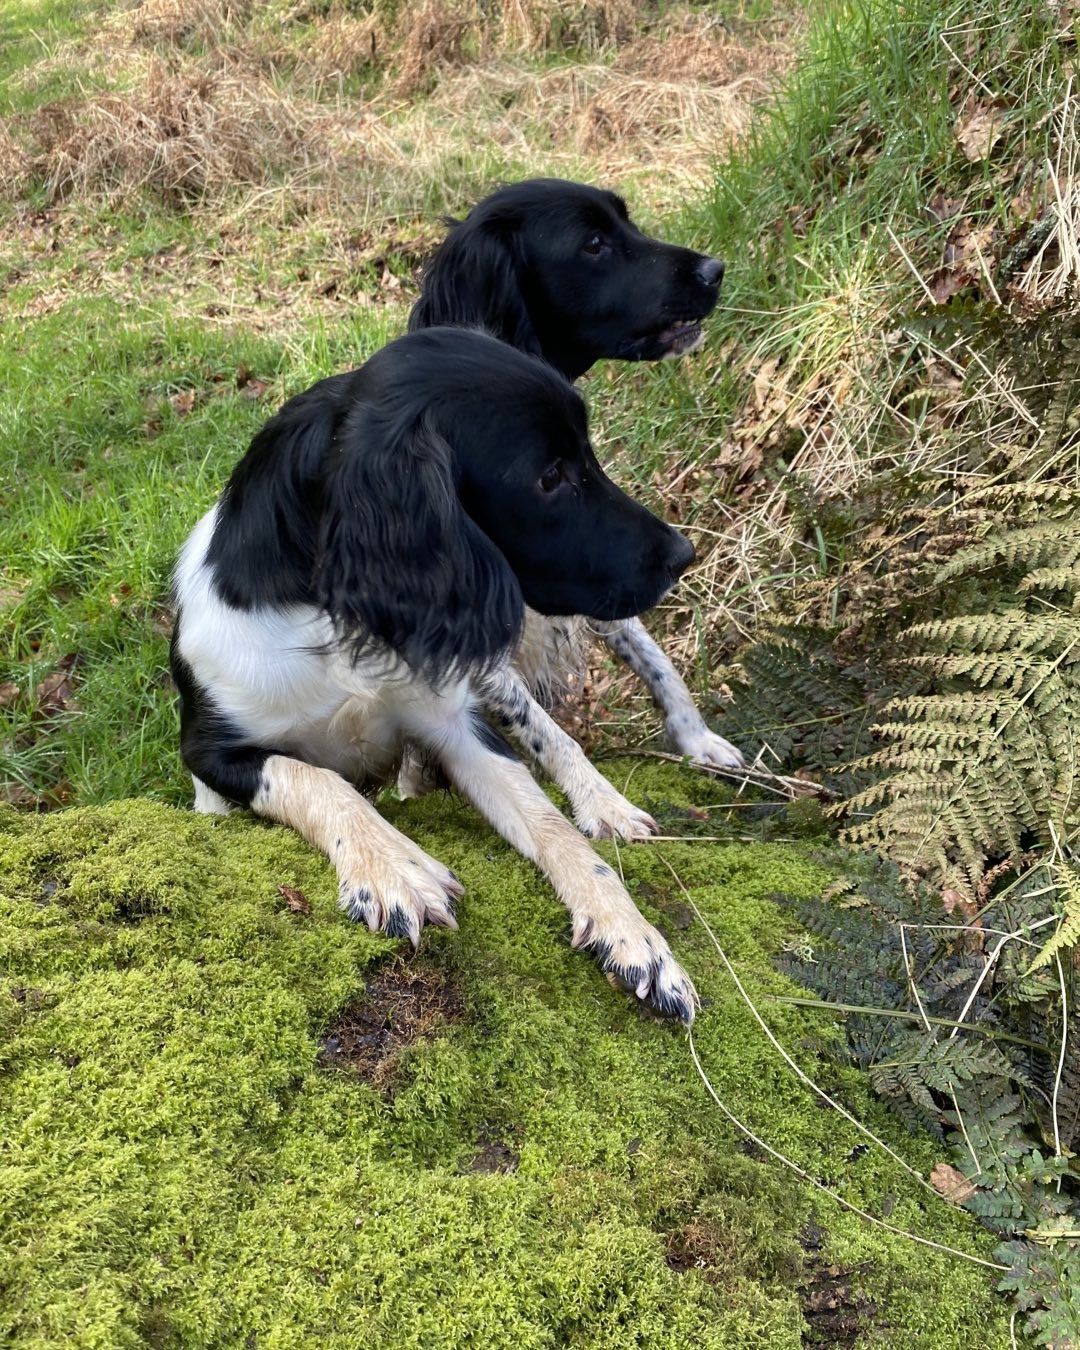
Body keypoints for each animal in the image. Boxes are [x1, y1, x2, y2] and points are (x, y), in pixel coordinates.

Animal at [171, 327, 699, 1022]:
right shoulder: (211, 749)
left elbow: (554, 827)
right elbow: (315, 778)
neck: (332, 618)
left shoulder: (454, 725)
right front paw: (392, 867)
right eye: (550, 476)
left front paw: (635, 936)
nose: (683, 555)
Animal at [409, 178, 744, 773]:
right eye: (593, 244)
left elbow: (651, 653)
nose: (715, 268)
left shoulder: (593, 556)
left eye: (626, 222)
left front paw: (697, 738)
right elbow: (547, 733)